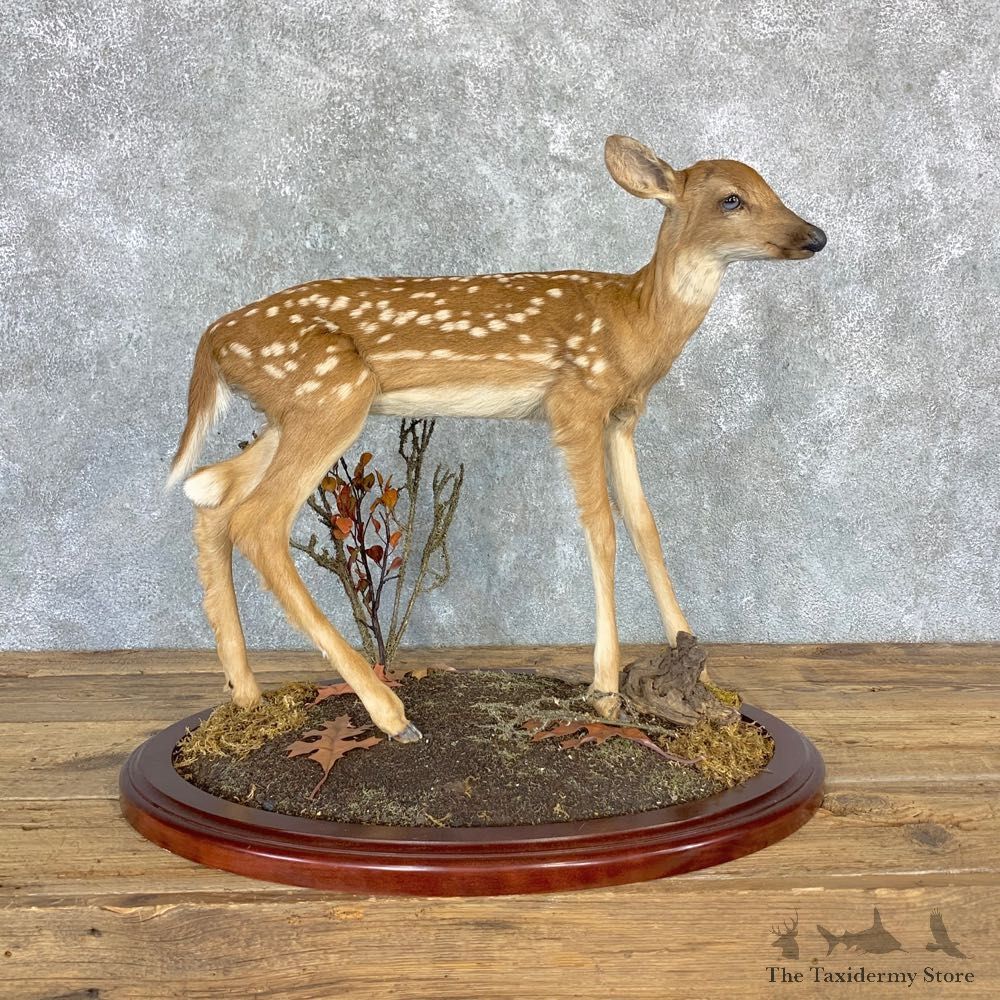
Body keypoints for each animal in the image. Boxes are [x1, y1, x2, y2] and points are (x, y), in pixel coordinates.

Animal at [167, 134, 826, 743]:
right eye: (732, 199)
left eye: (771, 187)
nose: (816, 236)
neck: (635, 323)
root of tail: (211, 339)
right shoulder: (576, 401)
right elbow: (603, 530)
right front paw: (605, 690)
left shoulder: (623, 415)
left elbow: (645, 525)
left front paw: (698, 664)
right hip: (329, 396)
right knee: (256, 519)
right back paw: (391, 716)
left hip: (290, 413)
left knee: (210, 495)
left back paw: (247, 696)